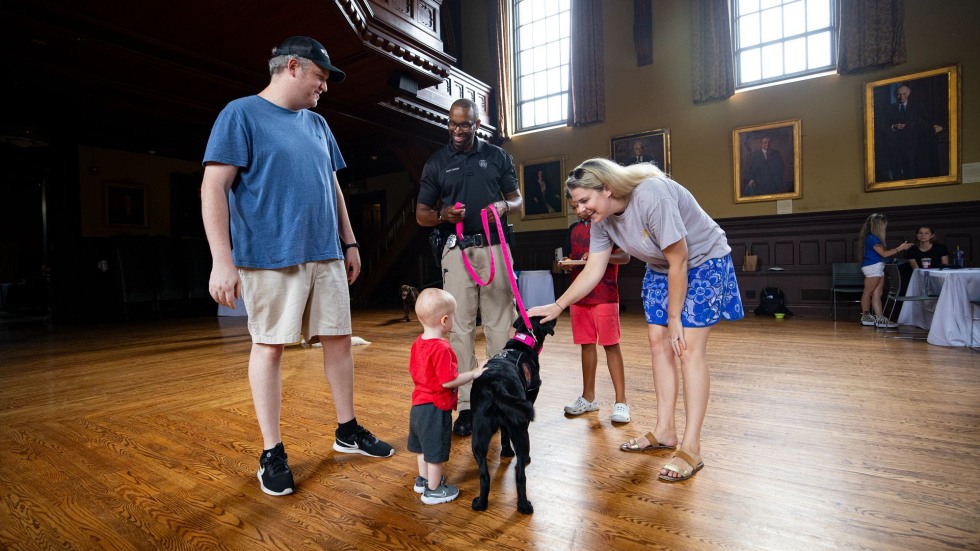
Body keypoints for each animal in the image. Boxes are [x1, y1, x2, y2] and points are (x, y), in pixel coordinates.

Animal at [470, 316, 556, 516]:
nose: (554, 318)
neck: (521, 343)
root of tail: (495, 384)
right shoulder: (530, 397)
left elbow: (503, 435)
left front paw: (506, 452)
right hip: (521, 431)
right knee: (520, 475)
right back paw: (524, 506)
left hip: (479, 435)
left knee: (484, 475)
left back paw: (481, 503)